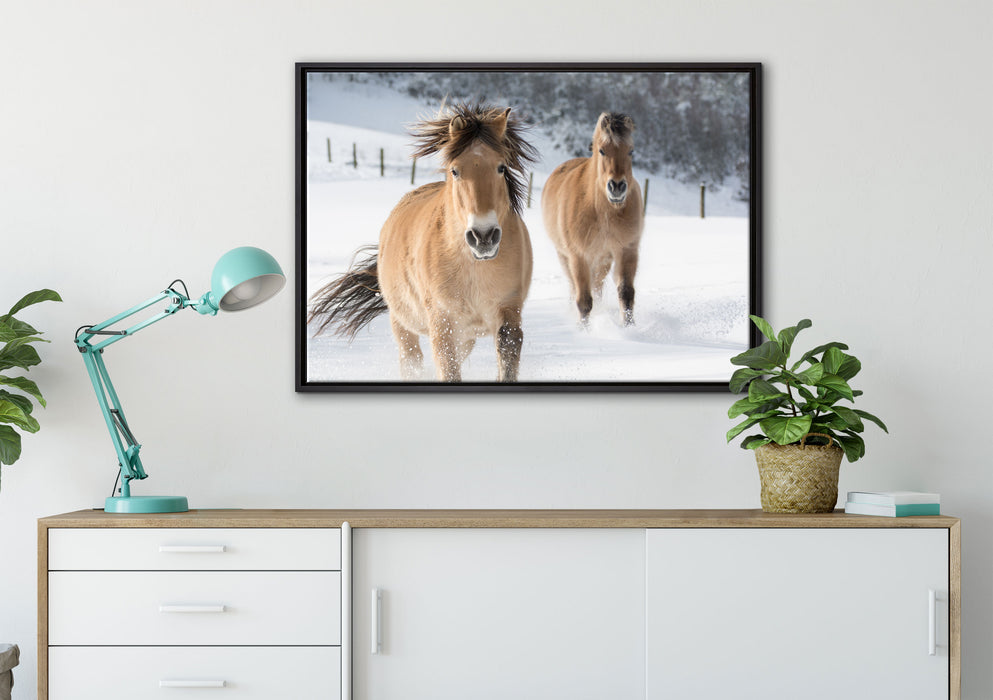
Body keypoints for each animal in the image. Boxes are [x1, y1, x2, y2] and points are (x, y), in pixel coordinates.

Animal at [308, 103, 538, 383]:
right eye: (455, 170)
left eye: (501, 167)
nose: (483, 236)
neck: (472, 267)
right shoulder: (443, 322)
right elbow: (448, 370)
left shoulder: (508, 312)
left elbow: (506, 357)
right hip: (402, 322)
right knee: (411, 360)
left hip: (467, 335)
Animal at [541, 112, 644, 326]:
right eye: (602, 150)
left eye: (631, 151)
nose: (617, 187)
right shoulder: (578, 256)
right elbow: (584, 300)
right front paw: (584, 329)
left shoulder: (627, 250)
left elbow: (626, 293)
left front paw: (630, 328)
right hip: (565, 256)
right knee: (575, 288)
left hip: (602, 259)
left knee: (597, 287)